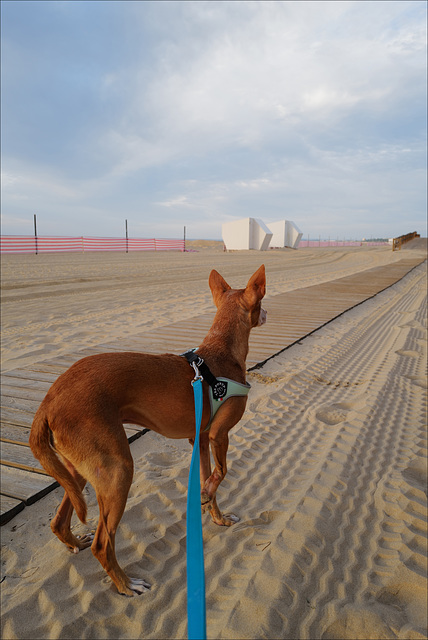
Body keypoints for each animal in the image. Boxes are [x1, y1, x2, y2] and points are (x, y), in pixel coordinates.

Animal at [29, 264, 264, 596]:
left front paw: (216, 515)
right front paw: (207, 496)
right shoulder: (220, 435)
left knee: (59, 521)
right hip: (117, 469)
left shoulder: (201, 440)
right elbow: (222, 472)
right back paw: (126, 585)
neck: (221, 353)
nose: (266, 313)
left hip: (81, 469)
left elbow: (210, 480)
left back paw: (76, 543)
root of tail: (49, 400)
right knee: (103, 544)